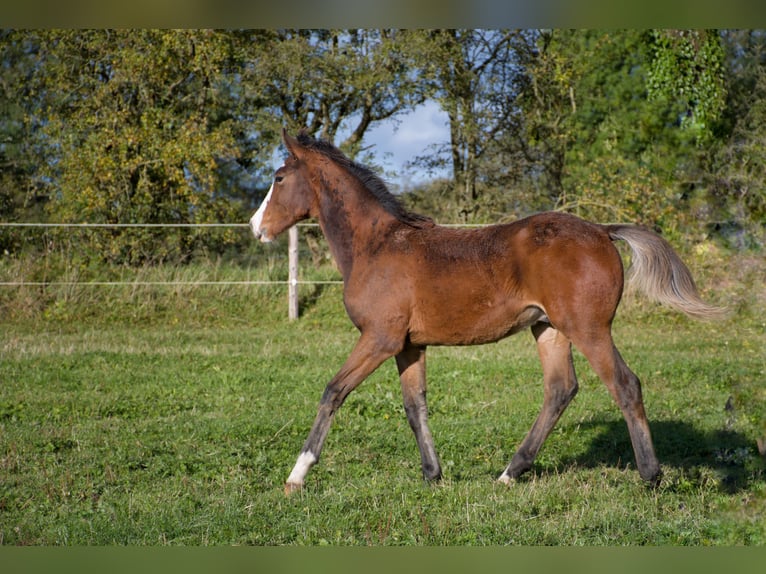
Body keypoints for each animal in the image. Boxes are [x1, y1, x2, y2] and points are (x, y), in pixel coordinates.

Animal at [252, 129, 728, 496]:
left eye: (278, 177)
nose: (257, 228)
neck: (377, 246)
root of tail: (601, 230)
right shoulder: (409, 345)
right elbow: (415, 406)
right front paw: (433, 476)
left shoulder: (379, 338)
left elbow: (333, 391)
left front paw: (297, 476)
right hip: (549, 328)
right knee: (560, 390)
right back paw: (509, 473)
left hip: (588, 327)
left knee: (625, 385)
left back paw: (651, 476)